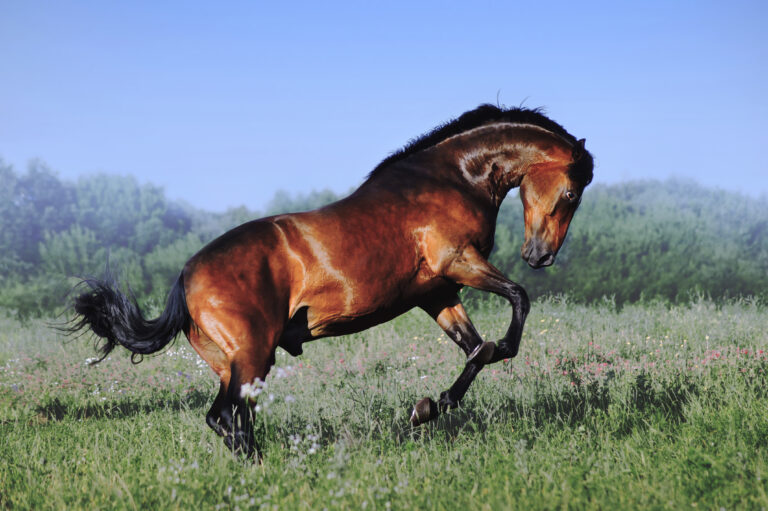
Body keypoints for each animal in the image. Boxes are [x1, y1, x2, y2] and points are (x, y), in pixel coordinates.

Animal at [69, 105, 592, 460]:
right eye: (571, 192)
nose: (540, 255)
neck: (451, 178)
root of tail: (185, 278)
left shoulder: (437, 293)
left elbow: (478, 350)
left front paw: (428, 406)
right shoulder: (458, 263)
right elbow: (516, 306)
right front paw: (433, 402)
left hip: (235, 363)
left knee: (233, 419)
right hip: (252, 355)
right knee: (227, 418)